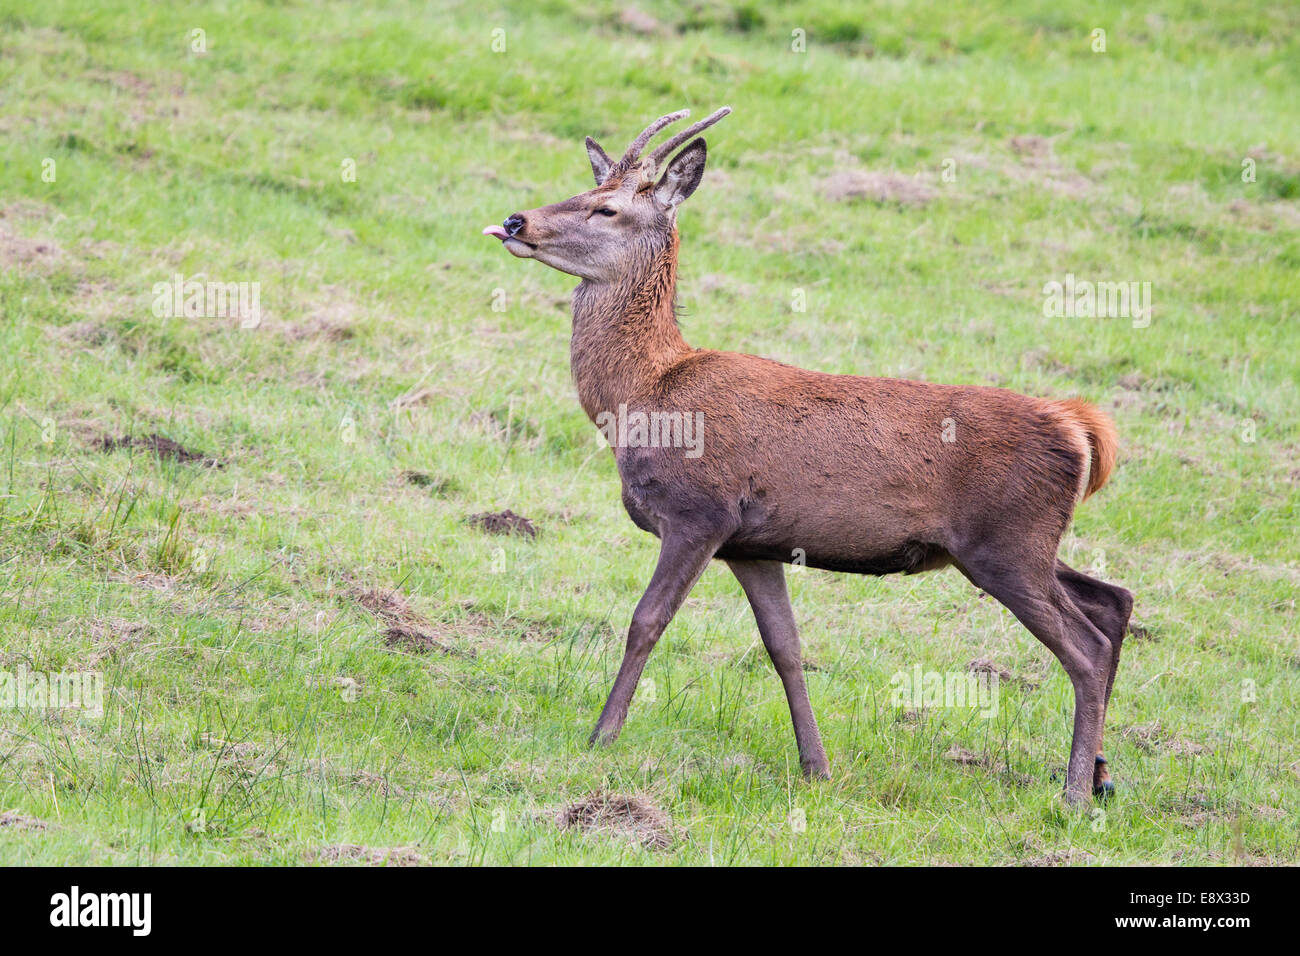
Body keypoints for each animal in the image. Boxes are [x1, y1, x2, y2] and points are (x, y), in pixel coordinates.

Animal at [482, 107, 1134, 805]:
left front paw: (602, 735)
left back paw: (1073, 792)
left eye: (606, 208)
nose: (516, 221)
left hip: (1006, 541)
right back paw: (1101, 774)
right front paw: (816, 766)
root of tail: (1081, 428)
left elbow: (646, 621)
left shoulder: (698, 513)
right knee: (1114, 600)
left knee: (1087, 645)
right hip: (1017, 542)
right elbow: (785, 647)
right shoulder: (752, 544)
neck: (645, 397)